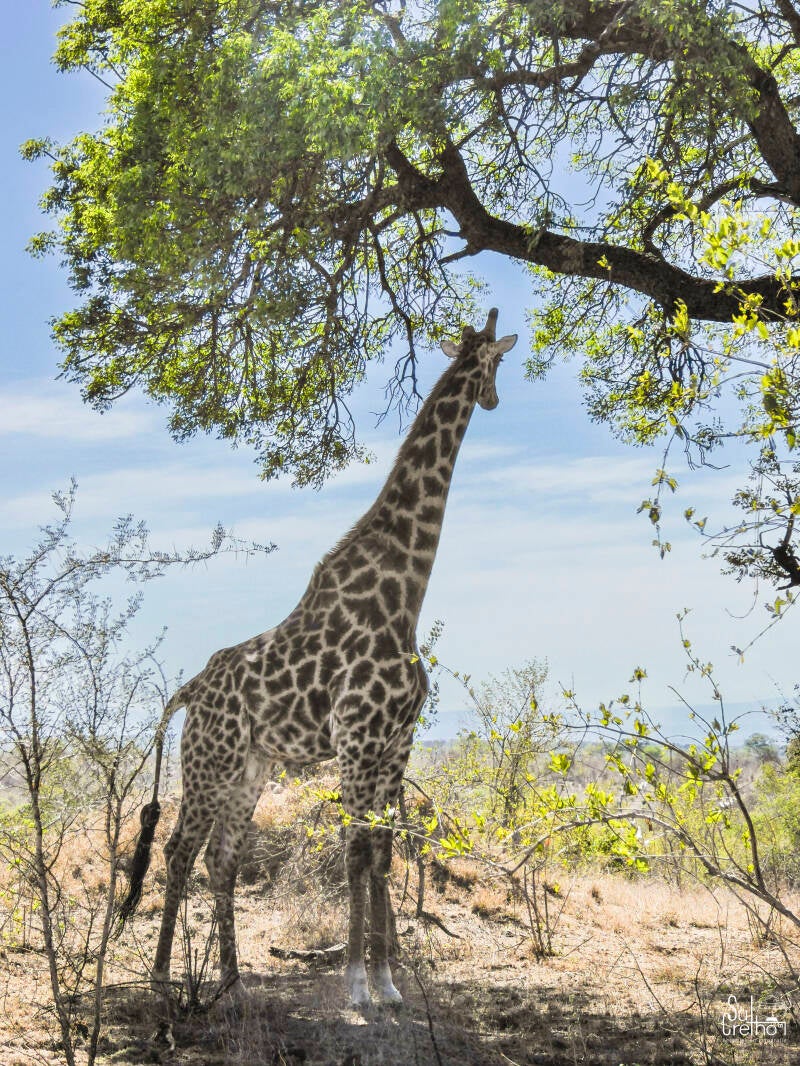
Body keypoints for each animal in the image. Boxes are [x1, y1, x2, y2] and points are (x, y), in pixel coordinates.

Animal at [119, 308, 517, 1008]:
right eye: (495, 363)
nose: (493, 399)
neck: (404, 594)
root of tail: (190, 690)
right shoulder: (357, 739)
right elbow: (354, 852)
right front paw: (357, 984)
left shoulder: (395, 744)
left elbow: (383, 850)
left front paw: (388, 983)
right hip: (210, 764)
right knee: (177, 852)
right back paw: (166, 980)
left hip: (251, 767)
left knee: (221, 859)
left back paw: (233, 985)